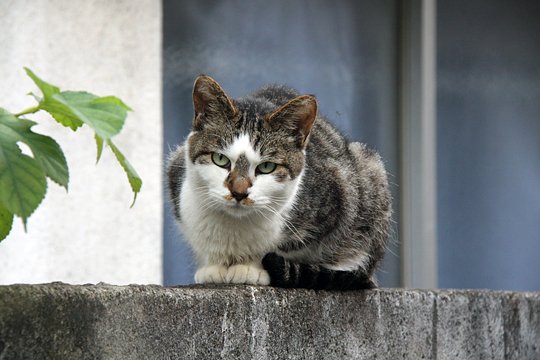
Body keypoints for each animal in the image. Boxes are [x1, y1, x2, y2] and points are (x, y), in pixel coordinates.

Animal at [167, 75, 390, 290]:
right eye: (220, 159)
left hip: (371, 174)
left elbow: (284, 248)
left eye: (267, 167)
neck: (234, 227)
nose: (239, 192)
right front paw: (213, 267)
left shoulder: (338, 196)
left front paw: (251, 268)